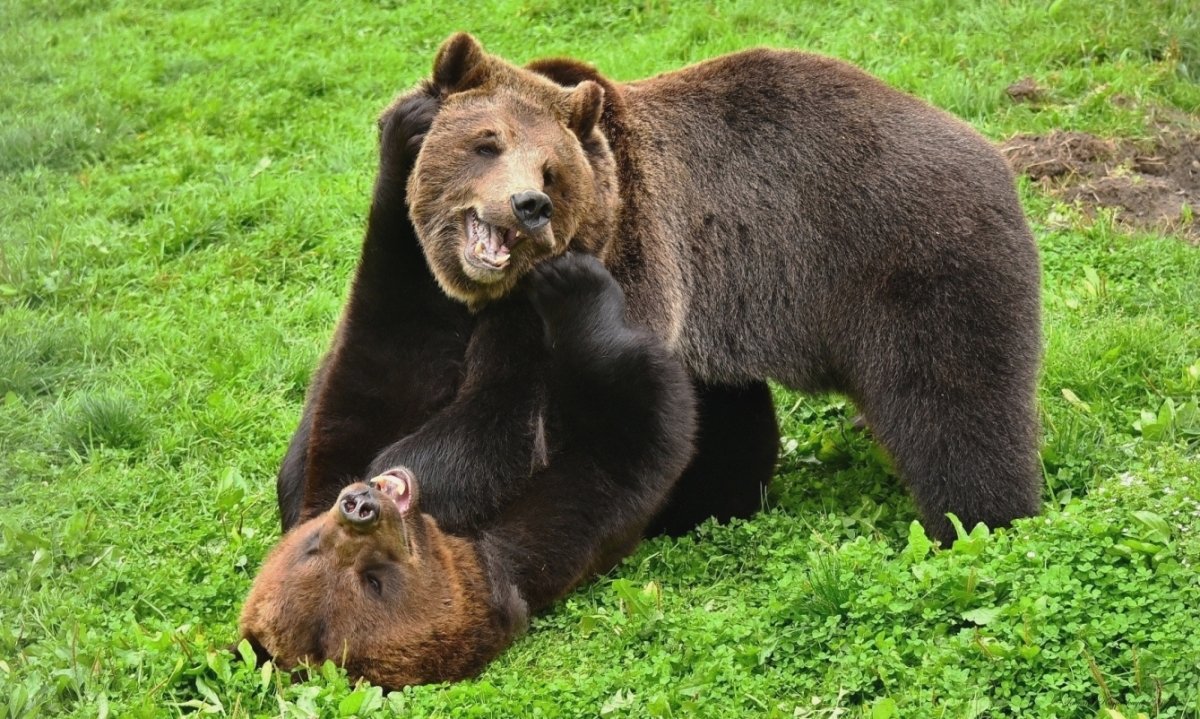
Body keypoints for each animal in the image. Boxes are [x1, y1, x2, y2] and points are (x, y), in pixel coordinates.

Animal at [400, 30, 1041, 542]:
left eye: (550, 170)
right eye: (486, 143)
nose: (528, 205)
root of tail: (995, 159)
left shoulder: (626, 273)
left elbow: (519, 420)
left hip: (913, 260)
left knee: (954, 402)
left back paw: (979, 517)